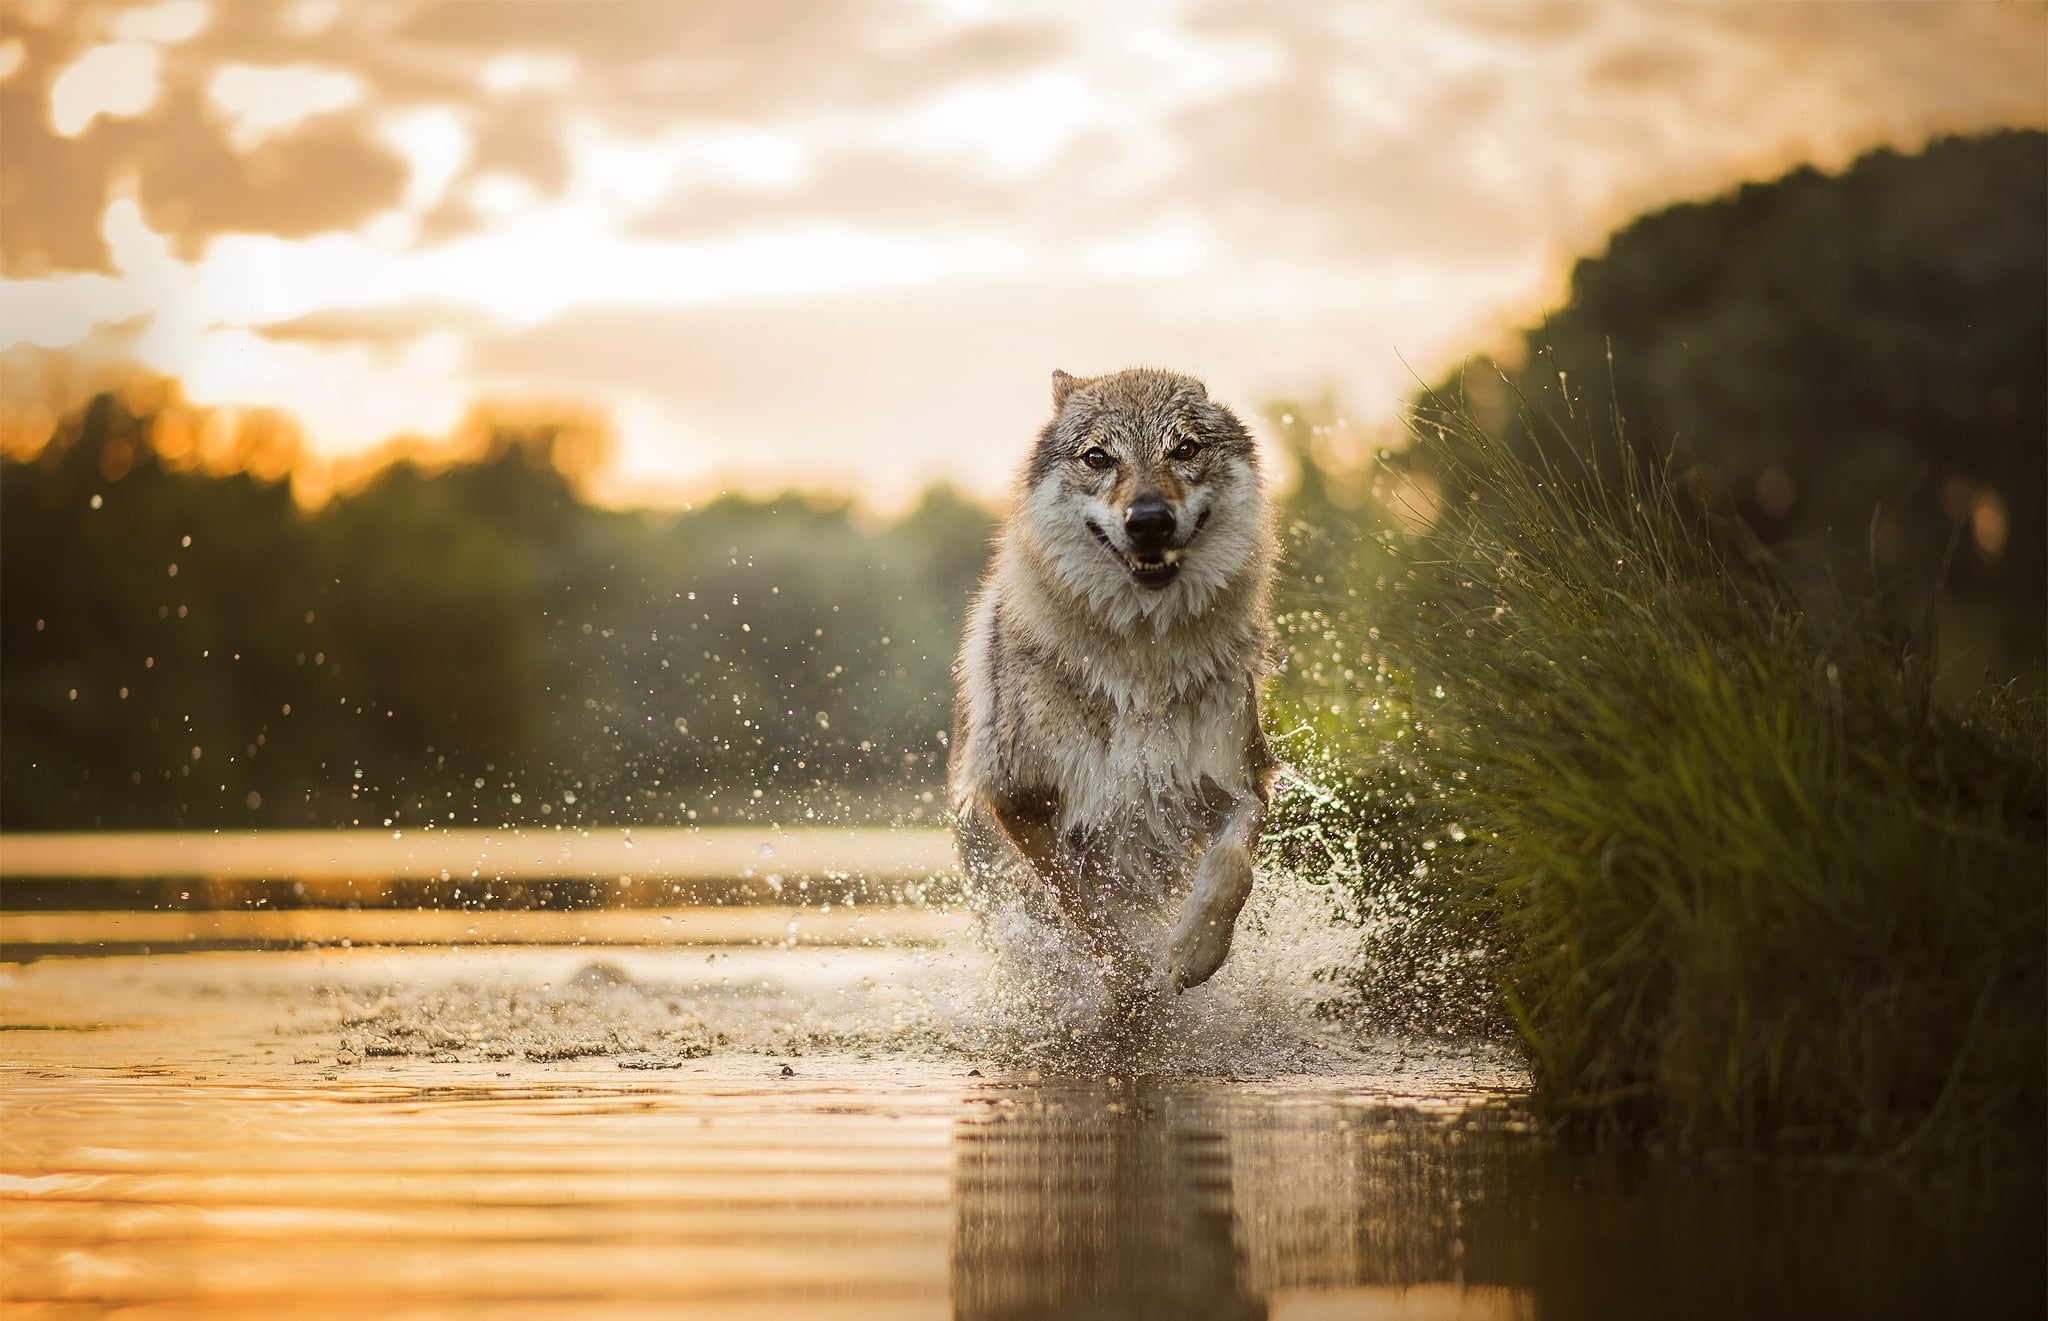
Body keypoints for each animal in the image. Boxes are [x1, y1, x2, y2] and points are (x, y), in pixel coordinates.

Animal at [949, 367, 1277, 1009]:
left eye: (1184, 449)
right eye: (1098, 457)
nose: (1148, 519)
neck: (1142, 664)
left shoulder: (1240, 777)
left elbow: (1233, 868)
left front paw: (1193, 954)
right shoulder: (1020, 801)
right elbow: (1084, 906)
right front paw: (1129, 987)